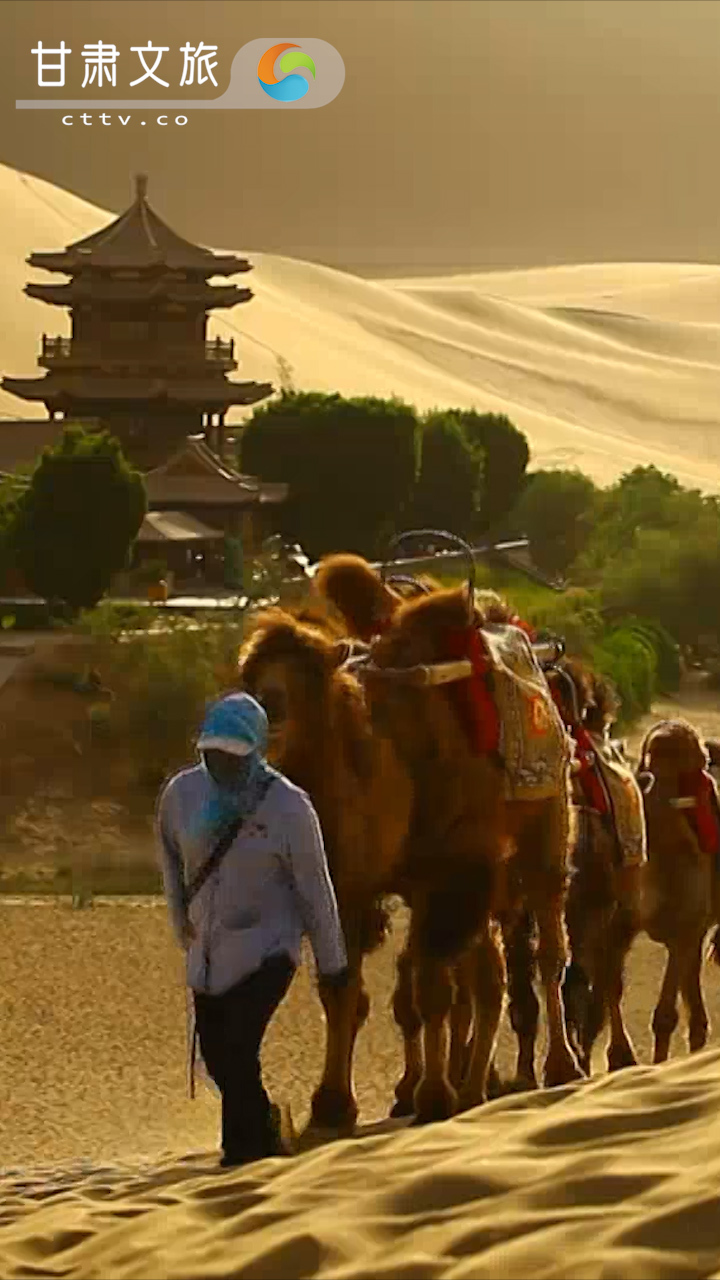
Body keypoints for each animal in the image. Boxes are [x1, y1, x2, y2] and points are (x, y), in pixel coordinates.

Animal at [313, 560, 584, 1111]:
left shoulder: (450, 866)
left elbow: (434, 988)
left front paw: (434, 1095)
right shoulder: (362, 881)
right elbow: (349, 986)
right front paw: (333, 1101)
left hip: (544, 832)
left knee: (547, 948)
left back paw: (558, 1066)